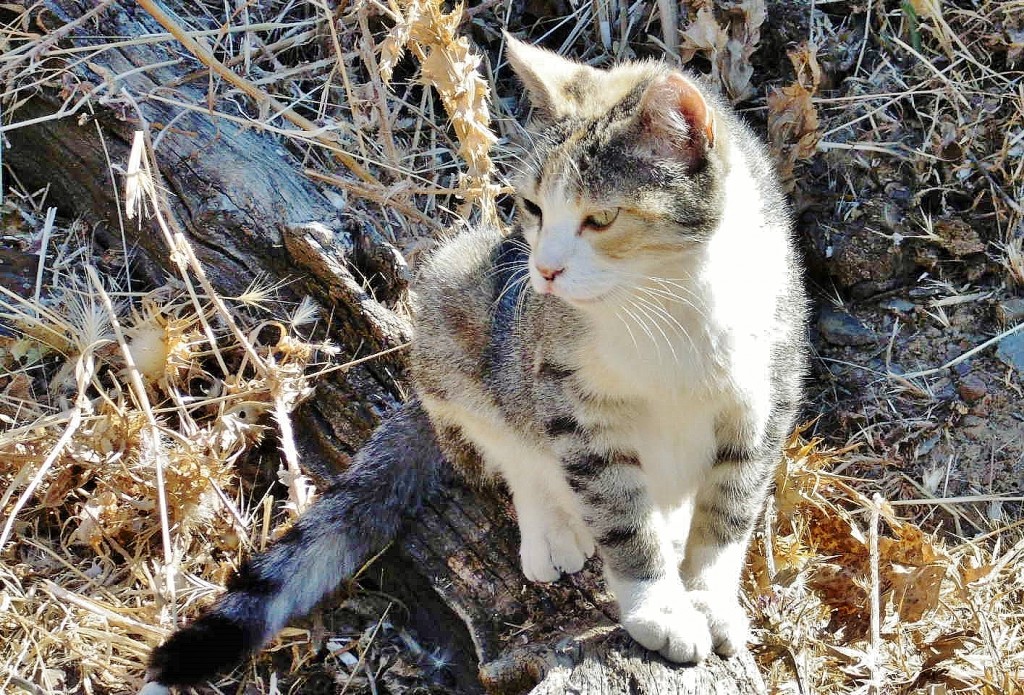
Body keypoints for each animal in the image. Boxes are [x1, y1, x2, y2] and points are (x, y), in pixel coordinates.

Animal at [140, 34, 806, 691]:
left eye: (601, 218)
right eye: (533, 207)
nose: (546, 269)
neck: (671, 298)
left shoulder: (767, 397)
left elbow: (730, 512)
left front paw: (709, 600)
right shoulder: (567, 392)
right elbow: (618, 511)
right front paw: (660, 609)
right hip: (453, 300)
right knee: (510, 446)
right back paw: (552, 529)